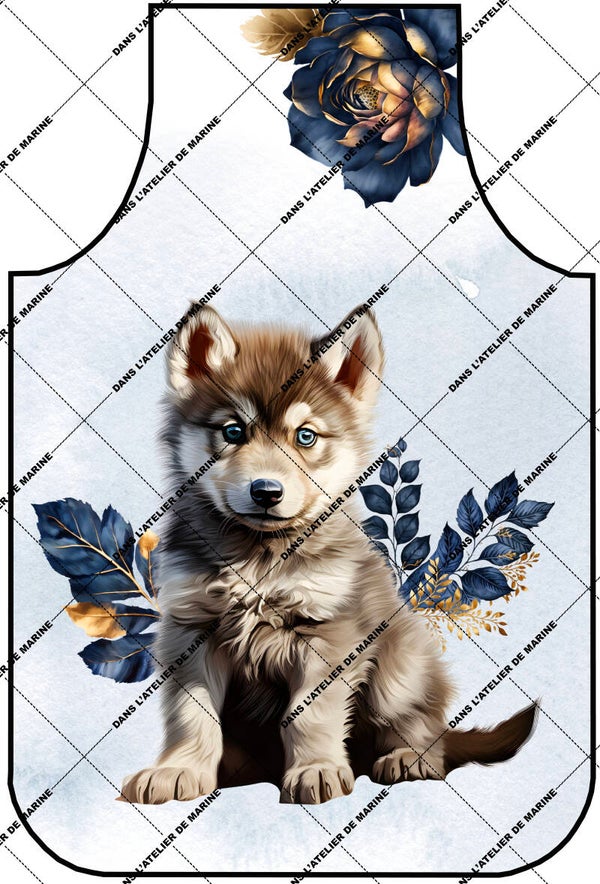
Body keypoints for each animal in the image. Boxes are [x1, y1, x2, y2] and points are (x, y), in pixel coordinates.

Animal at [121, 304, 535, 805]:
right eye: (233, 432)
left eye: (305, 437)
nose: (266, 492)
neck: (261, 559)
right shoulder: (191, 630)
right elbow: (191, 713)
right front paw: (179, 769)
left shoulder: (328, 634)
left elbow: (309, 714)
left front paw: (315, 768)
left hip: (398, 671)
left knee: (422, 723)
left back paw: (409, 757)